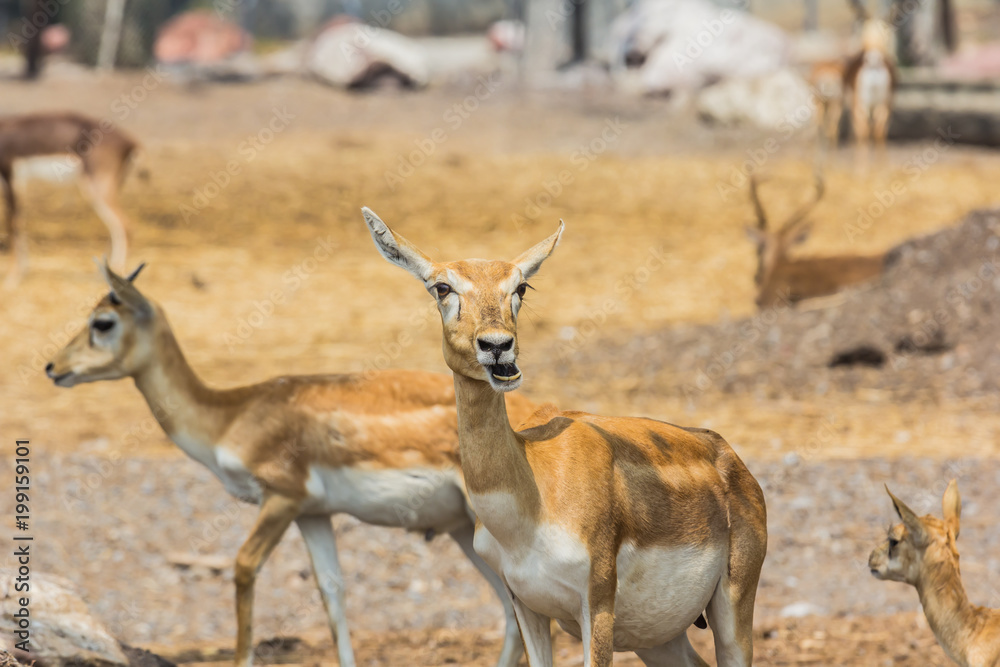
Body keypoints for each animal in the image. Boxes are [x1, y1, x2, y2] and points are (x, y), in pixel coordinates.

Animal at [0, 112, 138, 288]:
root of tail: (129, 142)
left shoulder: (10, 176)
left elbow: (12, 224)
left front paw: (12, 279)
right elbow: (20, 222)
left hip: (96, 188)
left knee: (125, 225)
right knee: (116, 228)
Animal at [45, 263, 539, 667]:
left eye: (103, 322)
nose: (53, 367)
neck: (232, 414)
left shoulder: (281, 498)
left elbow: (244, 567)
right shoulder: (313, 514)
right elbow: (332, 593)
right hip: (462, 531)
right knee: (509, 612)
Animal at [361, 207, 768, 667]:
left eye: (521, 286)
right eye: (442, 286)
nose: (498, 346)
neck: (532, 500)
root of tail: (729, 458)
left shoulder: (597, 603)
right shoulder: (525, 604)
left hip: (733, 609)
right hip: (658, 637)